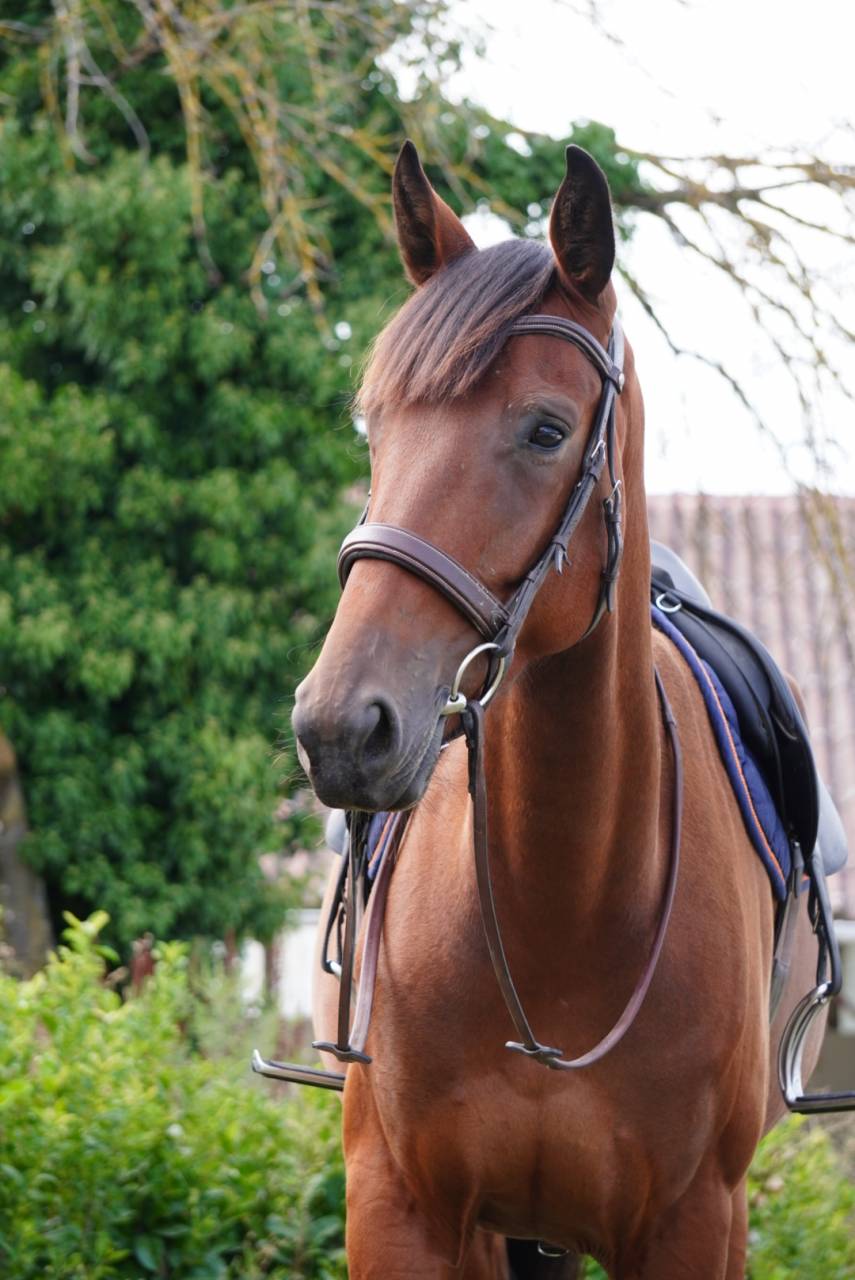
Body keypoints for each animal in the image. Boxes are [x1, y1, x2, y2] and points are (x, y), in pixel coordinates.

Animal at [292, 141, 826, 1279]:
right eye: (374, 427)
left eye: (544, 430)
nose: (341, 728)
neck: (564, 908)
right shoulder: (402, 1210)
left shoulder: (693, 1225)